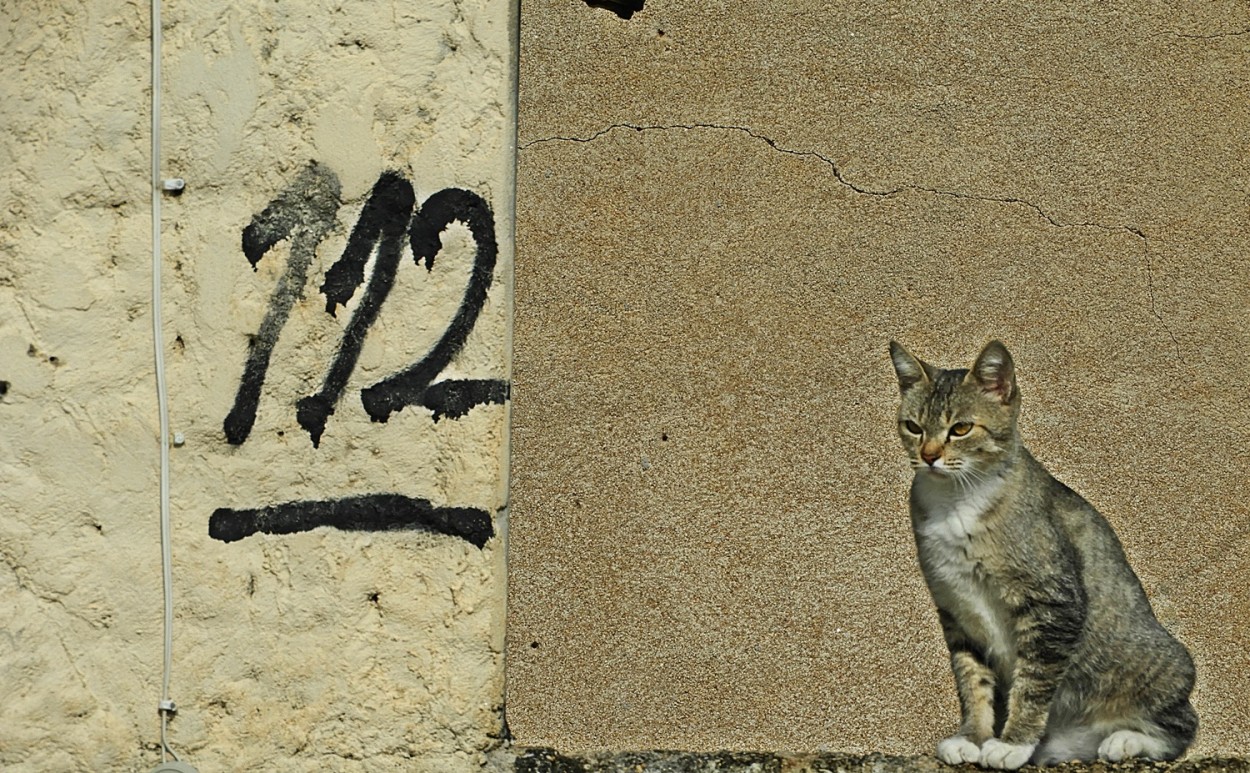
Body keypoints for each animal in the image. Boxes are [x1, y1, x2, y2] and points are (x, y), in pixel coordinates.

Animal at [885, 342, 1195, 765]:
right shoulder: (956, 611)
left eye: (961, 428)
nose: (929, 455)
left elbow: (1032, 682)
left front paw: (1013, 743)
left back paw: (1123, 740)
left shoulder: (1052, 604)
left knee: (1181, 726)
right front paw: (972, 737)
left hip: (1160, 666)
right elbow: (972, 682)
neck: (957, 501)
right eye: (914, 427)